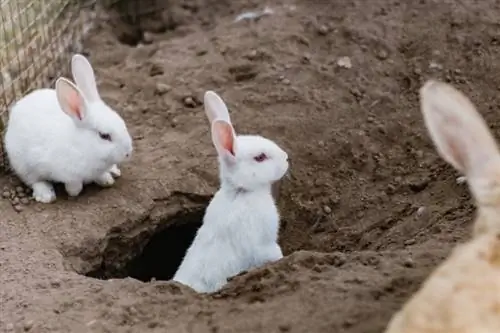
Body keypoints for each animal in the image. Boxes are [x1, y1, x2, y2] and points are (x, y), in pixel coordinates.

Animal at [3, 54, 133, 202]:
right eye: (104, 136)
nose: (128, 153)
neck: (82, 146)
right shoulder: (66, 173)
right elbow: (74, 183)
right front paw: (73, 192)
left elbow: (100, 175)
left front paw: (106, 180)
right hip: (23, 165)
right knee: (34, 181)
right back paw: (46, 195)